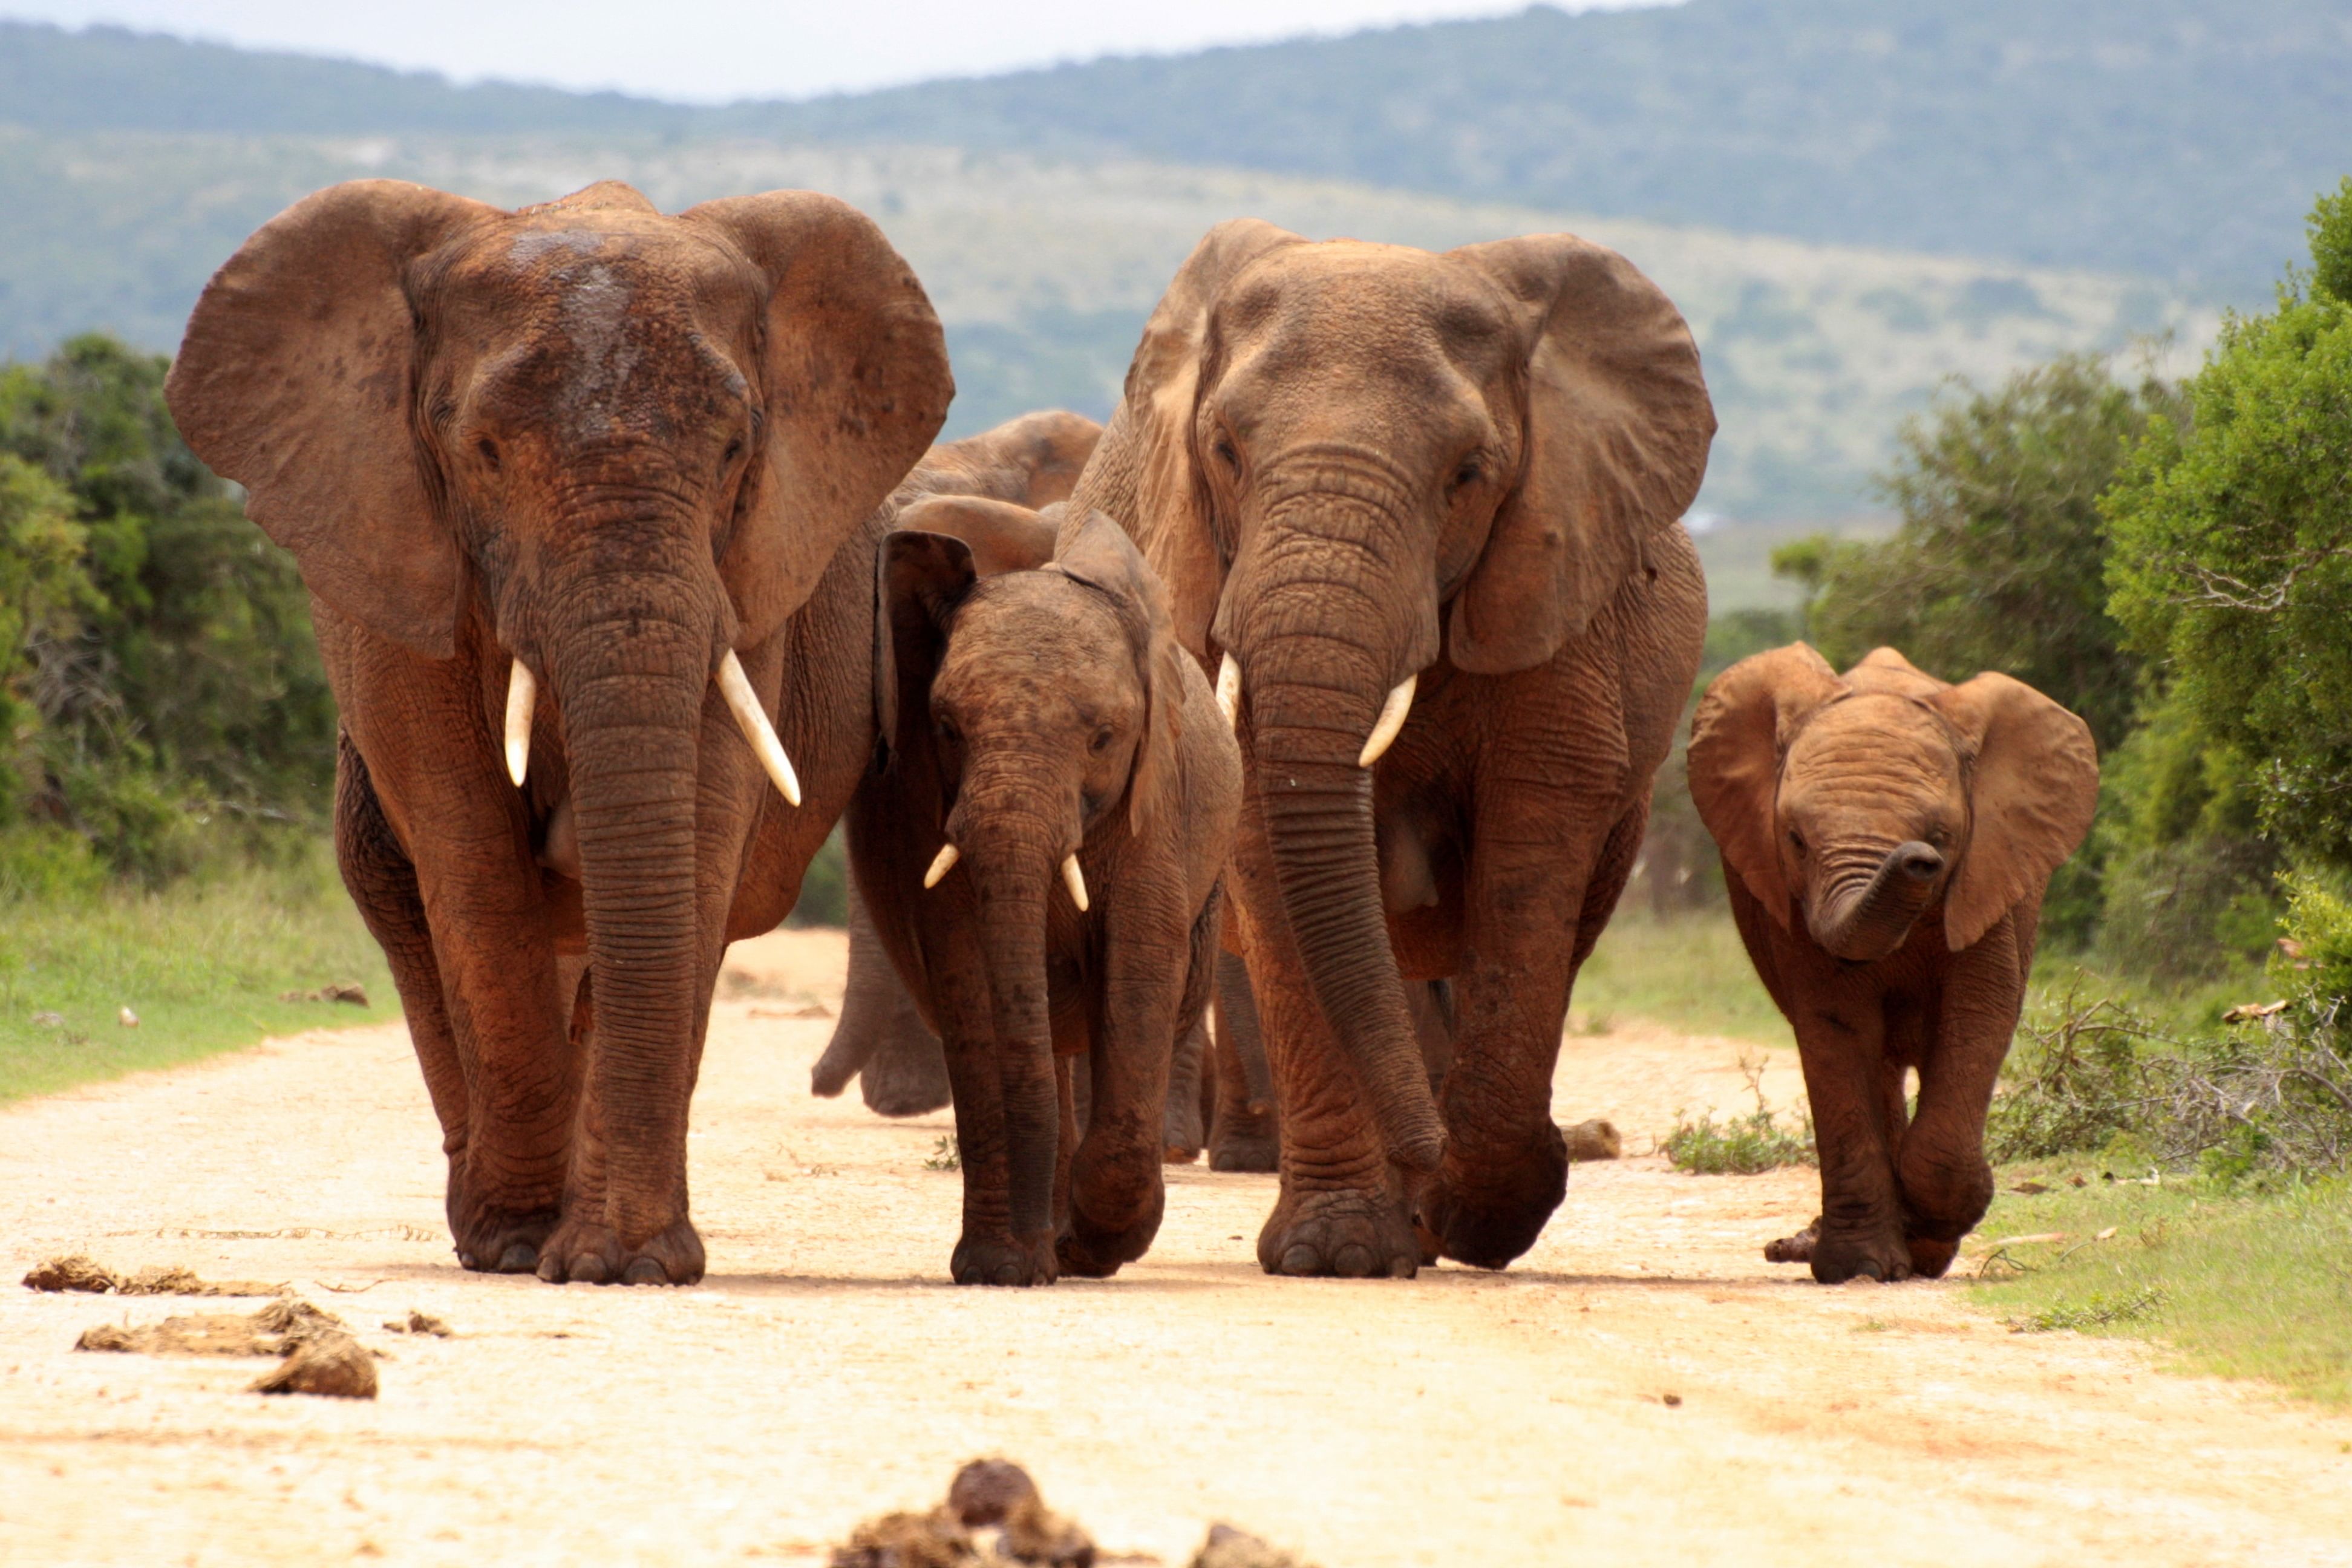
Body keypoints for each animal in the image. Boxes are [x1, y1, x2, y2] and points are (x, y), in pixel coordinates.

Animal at [166, 178, 953, 1284]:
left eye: (734, 452)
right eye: (484, 453)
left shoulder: (752, 578)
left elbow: (697, 837)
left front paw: (623, 1262)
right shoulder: (401, 576)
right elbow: (471, 857)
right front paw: (525, 1242)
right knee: (404, 897)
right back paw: (484, 1222)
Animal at [850, 494, 1242, 1284]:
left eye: (1104, 737)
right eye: (946, 727)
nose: (1043, 1259)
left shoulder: (1154, 808)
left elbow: (1139, 971)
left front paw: (1097, 1245)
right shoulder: (927, 807)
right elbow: (969, 974)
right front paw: (1002, 1267)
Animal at [1066, 220, 1714, 1277]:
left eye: (1468, 475)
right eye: (1225, 451)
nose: (1429, 1154)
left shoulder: (1554, 588)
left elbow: (1531, 859)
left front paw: (1479, 1213)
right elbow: (1270, 848)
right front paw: (1337, 1251)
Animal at [1686, 644, 2098, 1283]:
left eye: (1941, 835)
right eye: (1795, 840)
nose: (1919, 860)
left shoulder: (1986, 882)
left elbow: (1979, 1014)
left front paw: (1933, 1235)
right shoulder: (1796, 910)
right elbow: (1837, 1025)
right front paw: (1863, 1266)